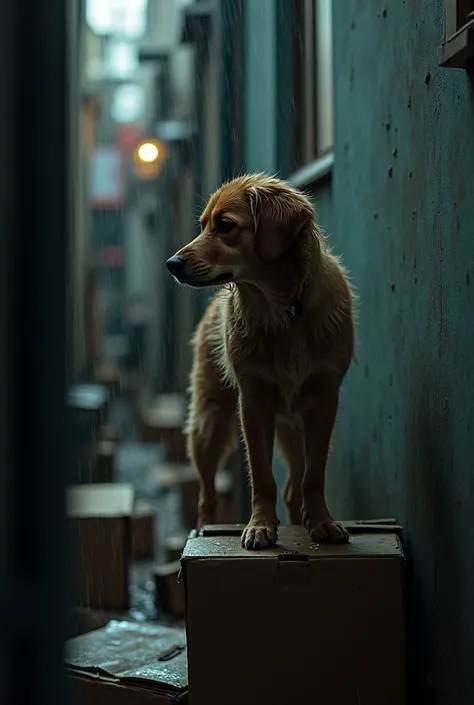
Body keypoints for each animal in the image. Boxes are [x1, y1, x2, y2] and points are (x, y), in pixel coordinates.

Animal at [165, 173, 354, 548]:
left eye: (224, 225)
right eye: (202, 225)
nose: (172, 265)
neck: (284, 310)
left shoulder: (325, 400)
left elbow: (313, 475)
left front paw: (321, 522)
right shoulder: (253, 404)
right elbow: (262, 476)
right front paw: (261, 526)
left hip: (291, 424)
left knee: (294, 487)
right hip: (209, 423)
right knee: (206, 493)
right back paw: (204, 531)